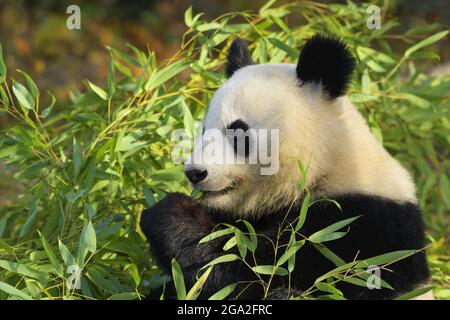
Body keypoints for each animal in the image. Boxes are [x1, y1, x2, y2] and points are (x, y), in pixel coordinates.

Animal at [139, 33, 430, 300]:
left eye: (238, 133)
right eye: (203, 130)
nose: (195, 173)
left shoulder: (354, 228)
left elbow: (248, 269)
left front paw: (171, 213)